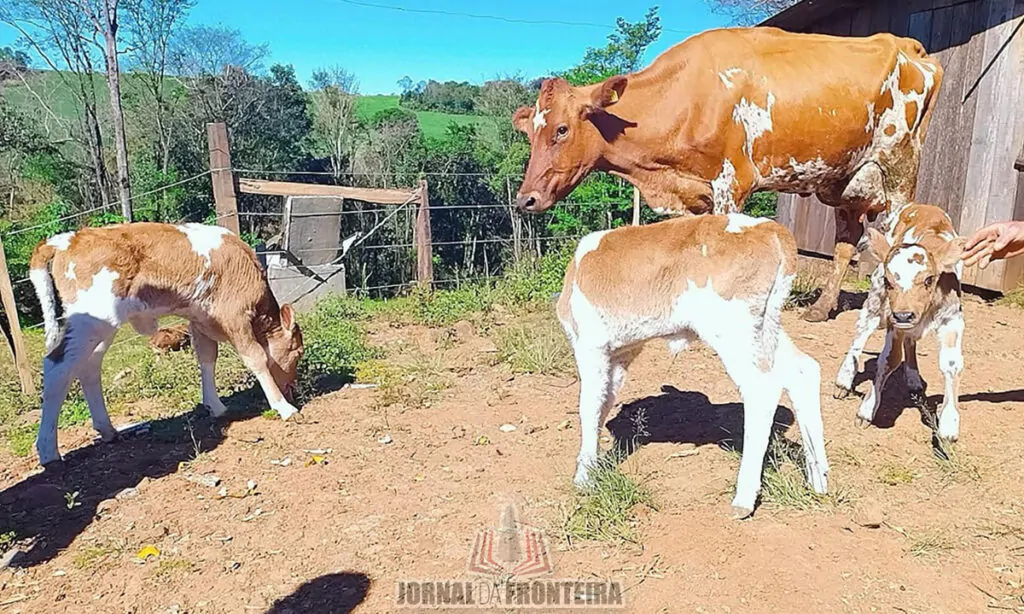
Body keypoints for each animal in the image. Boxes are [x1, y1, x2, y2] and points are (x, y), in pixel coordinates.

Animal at [29, 221, 303, 464]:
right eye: (298, 352)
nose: (292, 388)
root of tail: (70, 238)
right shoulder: (235, 315)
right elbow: (256, 358)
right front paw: (283, 406)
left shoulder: (200, 318)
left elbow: (207, 357)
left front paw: (215, 406)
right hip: (92, 321)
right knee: (57, 368)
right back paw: (48, 451)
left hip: (100, 327)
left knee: (88, 367)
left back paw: (107, 430)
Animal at [516, 26, 937, 323]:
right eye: (530, 133)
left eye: (561, 129)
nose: (525, 199)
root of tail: (906, 46)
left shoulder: (731, 185)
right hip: (845, 181)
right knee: (846, 243)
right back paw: (821, 308)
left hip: (899, 170)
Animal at [557, 211, 827, 517]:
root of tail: (769, 228)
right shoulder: (621, 352)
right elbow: (603, 403)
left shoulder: (590, 346)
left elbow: (588, 407)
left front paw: (583, 480)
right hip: (766, 325)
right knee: (804, 370)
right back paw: (818, 480)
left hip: (733, 329)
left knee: (762, 390)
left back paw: (744, 498)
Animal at [835, 206, 962, 442]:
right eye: (889, 280)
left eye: (929, 279)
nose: (904, 315)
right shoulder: (893, 320)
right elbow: (889, 359)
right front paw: (867, 409)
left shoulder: (952, 318)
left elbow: (951, 363)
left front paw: (949, 424)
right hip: (876, 301)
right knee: (861, 332)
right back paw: (844, 379)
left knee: (910, 341)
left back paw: (913, 379)